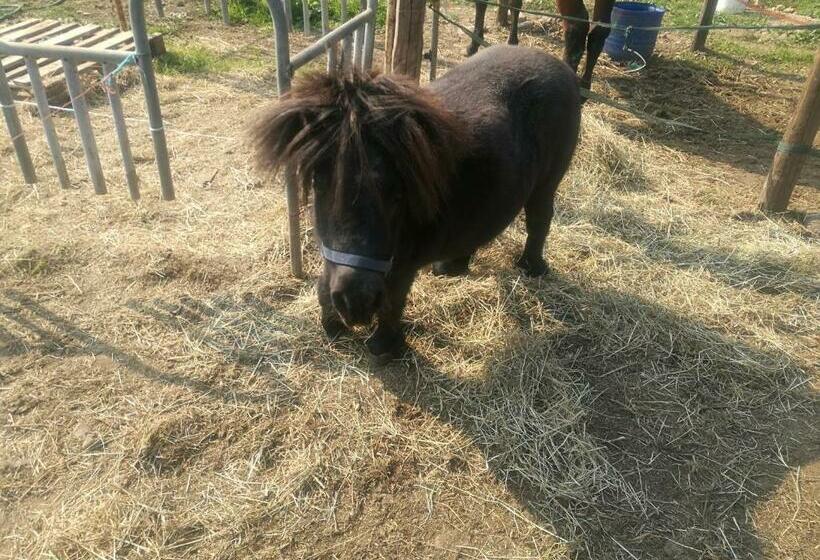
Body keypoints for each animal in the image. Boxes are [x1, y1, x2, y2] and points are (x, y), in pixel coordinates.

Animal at [251, 45, 581, 362]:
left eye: (395, 191)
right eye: (320, 182)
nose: (354, 302)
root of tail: (555, 63)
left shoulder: (403, 264)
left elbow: (393, 302)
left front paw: (385, 347)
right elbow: (325, 284)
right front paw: (332, 325)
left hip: (547, 183)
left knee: (539, 220)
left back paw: (532, 267)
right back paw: (451, 266)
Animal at [467, 0, 615, 91]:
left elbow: (481, 3)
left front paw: (474, 44)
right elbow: (515, 4)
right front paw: (512, 42)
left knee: (577, 25)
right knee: (600, 29)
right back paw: (585, 87)